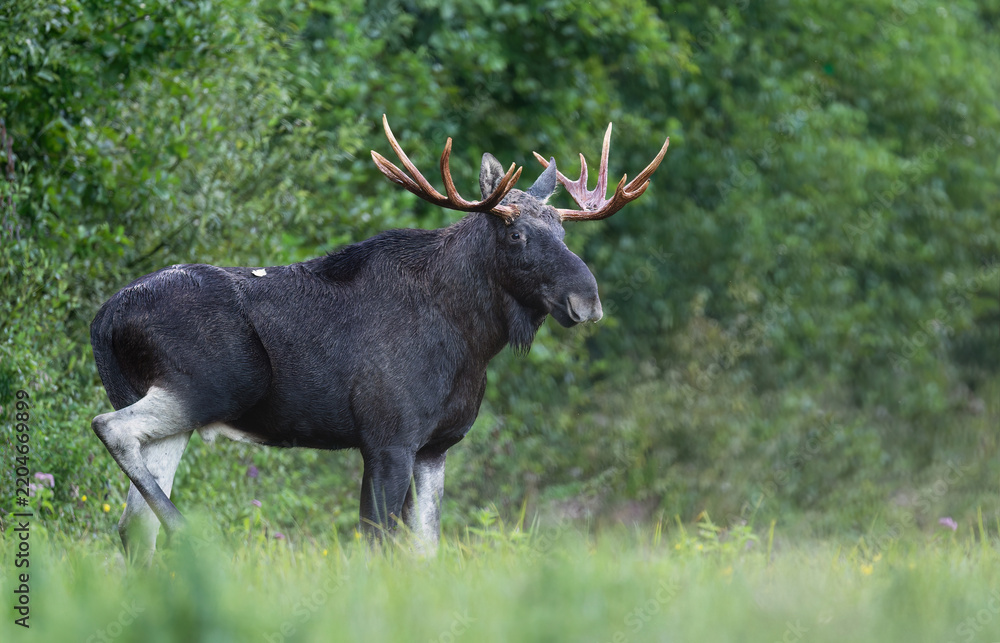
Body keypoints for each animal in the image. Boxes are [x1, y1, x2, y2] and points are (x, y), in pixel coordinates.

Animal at [90, 114, 669, 563]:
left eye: (564, 231)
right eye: (515, 232)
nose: (586, 300)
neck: (471, 343)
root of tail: (106, 315)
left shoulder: (435, 445)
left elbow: (426, 546)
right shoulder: (388, 437)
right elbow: (378, 540)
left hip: (178, 410)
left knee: (132, 523)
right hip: (212, 388)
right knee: (109, 429)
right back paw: (191, 534)